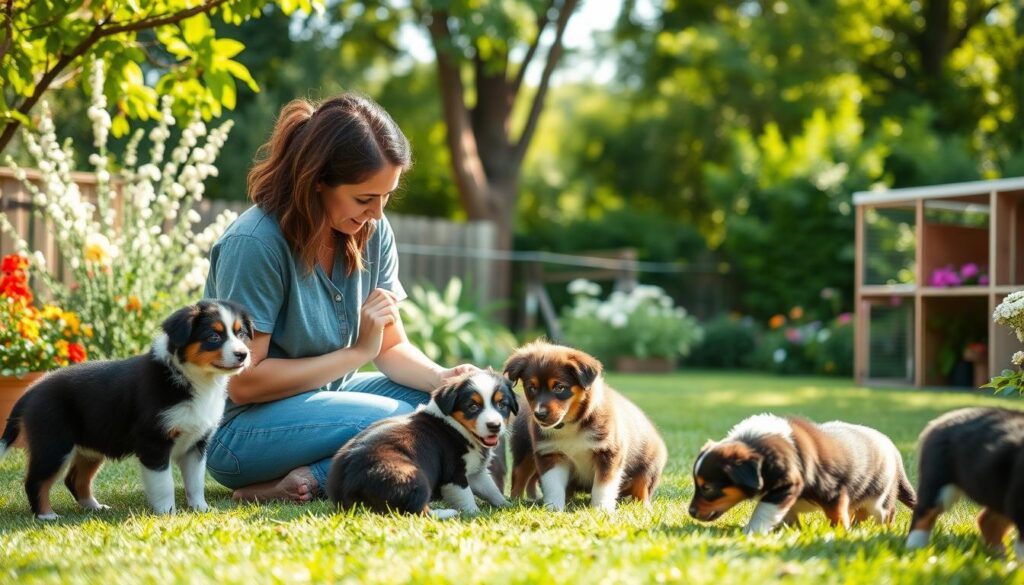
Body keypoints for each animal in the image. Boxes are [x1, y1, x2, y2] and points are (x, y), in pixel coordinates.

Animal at [0, 299, 253, 520]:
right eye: (213, 336)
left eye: (241, 334)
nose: (243, 354)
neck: (196, 379)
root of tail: (33, 388)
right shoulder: (154, 442)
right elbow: (164, 484)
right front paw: (167, 514)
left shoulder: (196, 444)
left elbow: (195, 482)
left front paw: (201, 509)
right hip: (54, 444)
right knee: (36, 481)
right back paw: (46, 515)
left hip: (91, 445)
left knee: (75, 479)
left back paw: (95, 507)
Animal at [329, 370, 520, 516]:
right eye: (473, 406)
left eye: (501, 405)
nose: (494, 426)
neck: (458, 428)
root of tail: (349, 483)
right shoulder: (454, 474)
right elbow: (466, 497)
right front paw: (474, 514)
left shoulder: (476, 473)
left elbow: (491, 490)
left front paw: (507, 506)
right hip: (412, 476)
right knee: (417, 511)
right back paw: (447, 513)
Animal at [501, 340, 663, 514]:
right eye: (531, 388)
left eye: (559, 387)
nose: (539, 414)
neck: (571, 425)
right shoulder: (549, 453)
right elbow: (553, 486)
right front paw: (554, 510)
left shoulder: (609, 452)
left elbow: (603, 487)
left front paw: (602, 510)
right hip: (524, 451)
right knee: (519, 476)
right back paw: (515, 502)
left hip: (650, 464)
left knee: (642, 488)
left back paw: (644, 507)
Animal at [688, 411, 913, 536]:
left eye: (707, 488)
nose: (690, 512)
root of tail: (893, 450)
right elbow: (783, 515)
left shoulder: (829, 492)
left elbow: (763, 510)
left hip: (880, 499)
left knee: (885, 513)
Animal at [909, 405, 1024, 557]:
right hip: (938, 481)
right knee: (923, 514)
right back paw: (915, 550)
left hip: (999, 496)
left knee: (987, 521)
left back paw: (999, 557)